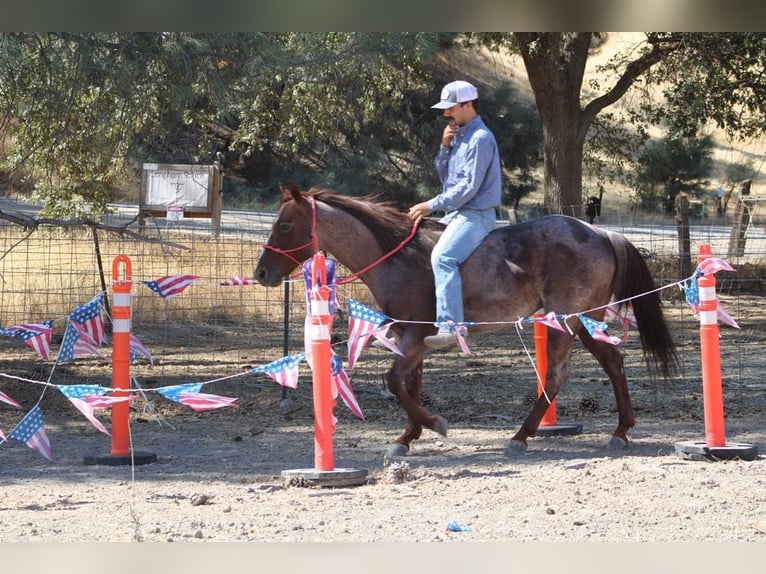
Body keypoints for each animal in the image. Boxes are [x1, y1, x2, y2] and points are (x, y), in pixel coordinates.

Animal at [254, 183, 678, 459]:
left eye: (285, 226)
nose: (261, 273)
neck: (397, 256)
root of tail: (601, 232)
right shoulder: (411, 337)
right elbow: (411, 383)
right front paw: (407, 437)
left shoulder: (415, 336)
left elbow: (395, 381)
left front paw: (433, 425)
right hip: (583, 321)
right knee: (613, 363)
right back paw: (620, 431)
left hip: (567, 320)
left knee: (558, 374)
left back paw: (521, 436)